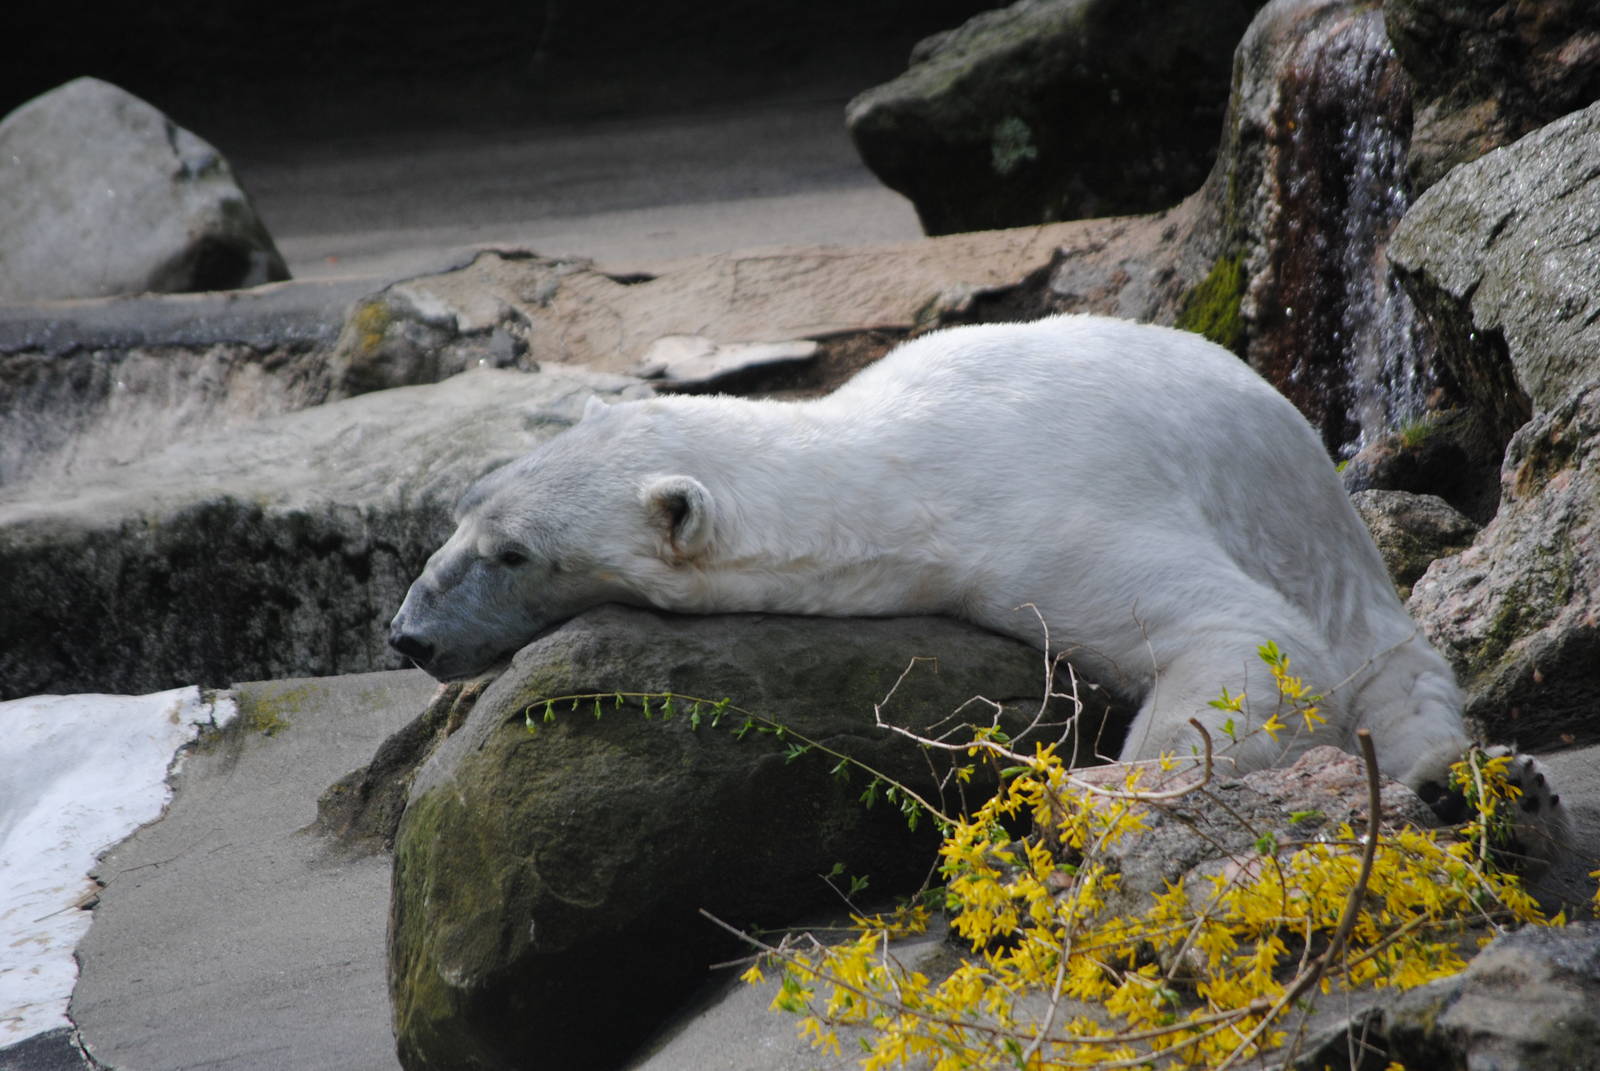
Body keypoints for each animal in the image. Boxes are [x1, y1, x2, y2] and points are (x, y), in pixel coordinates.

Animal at [389, 315, 1565, 857]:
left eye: (513, 553)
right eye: (464, 511)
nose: (409, 636)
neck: (886, 477)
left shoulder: (1038, 514)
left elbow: (1245, 639)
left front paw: (1093, 794)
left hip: (1319, 553)